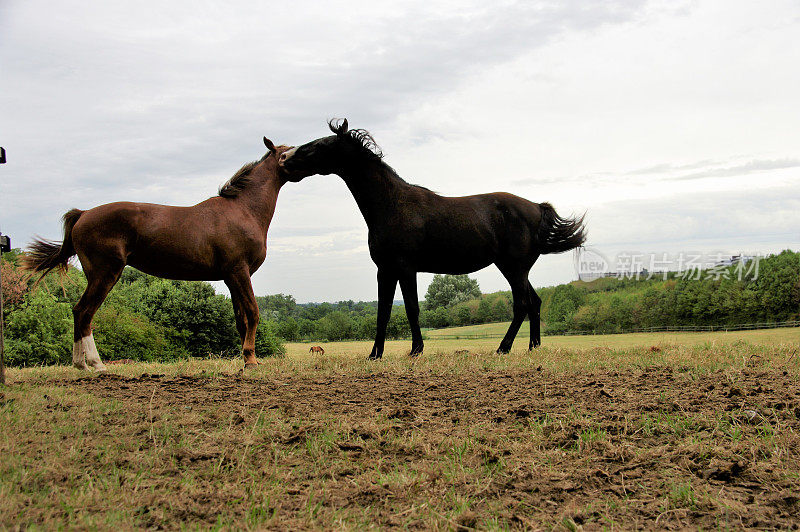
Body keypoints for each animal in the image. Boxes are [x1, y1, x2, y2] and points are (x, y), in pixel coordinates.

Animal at [25, 137, 300, 370]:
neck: (242, 209)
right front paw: (251, 361)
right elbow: (253, 312)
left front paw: (247, 359)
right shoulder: (239, 272)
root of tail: (82, 214)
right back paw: (95, 363)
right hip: (104, 274)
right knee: (84, 312)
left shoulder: (232, 278)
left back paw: (80, 364)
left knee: (79, 312)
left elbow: (240, 319)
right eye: (287, 153)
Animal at [282, 120, 588, 360]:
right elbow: (383, 312)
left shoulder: (405, 268)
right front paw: (375, 354)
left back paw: (504, 348)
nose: (285, 158)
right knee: (534, 302)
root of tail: (537, 207)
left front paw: (416, 349)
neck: (392, 204)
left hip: (514, 269)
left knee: (522, 304)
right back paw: (532, 348)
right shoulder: (385, 270)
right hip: (518, 270)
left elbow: (411, 308)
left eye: (320, 145)